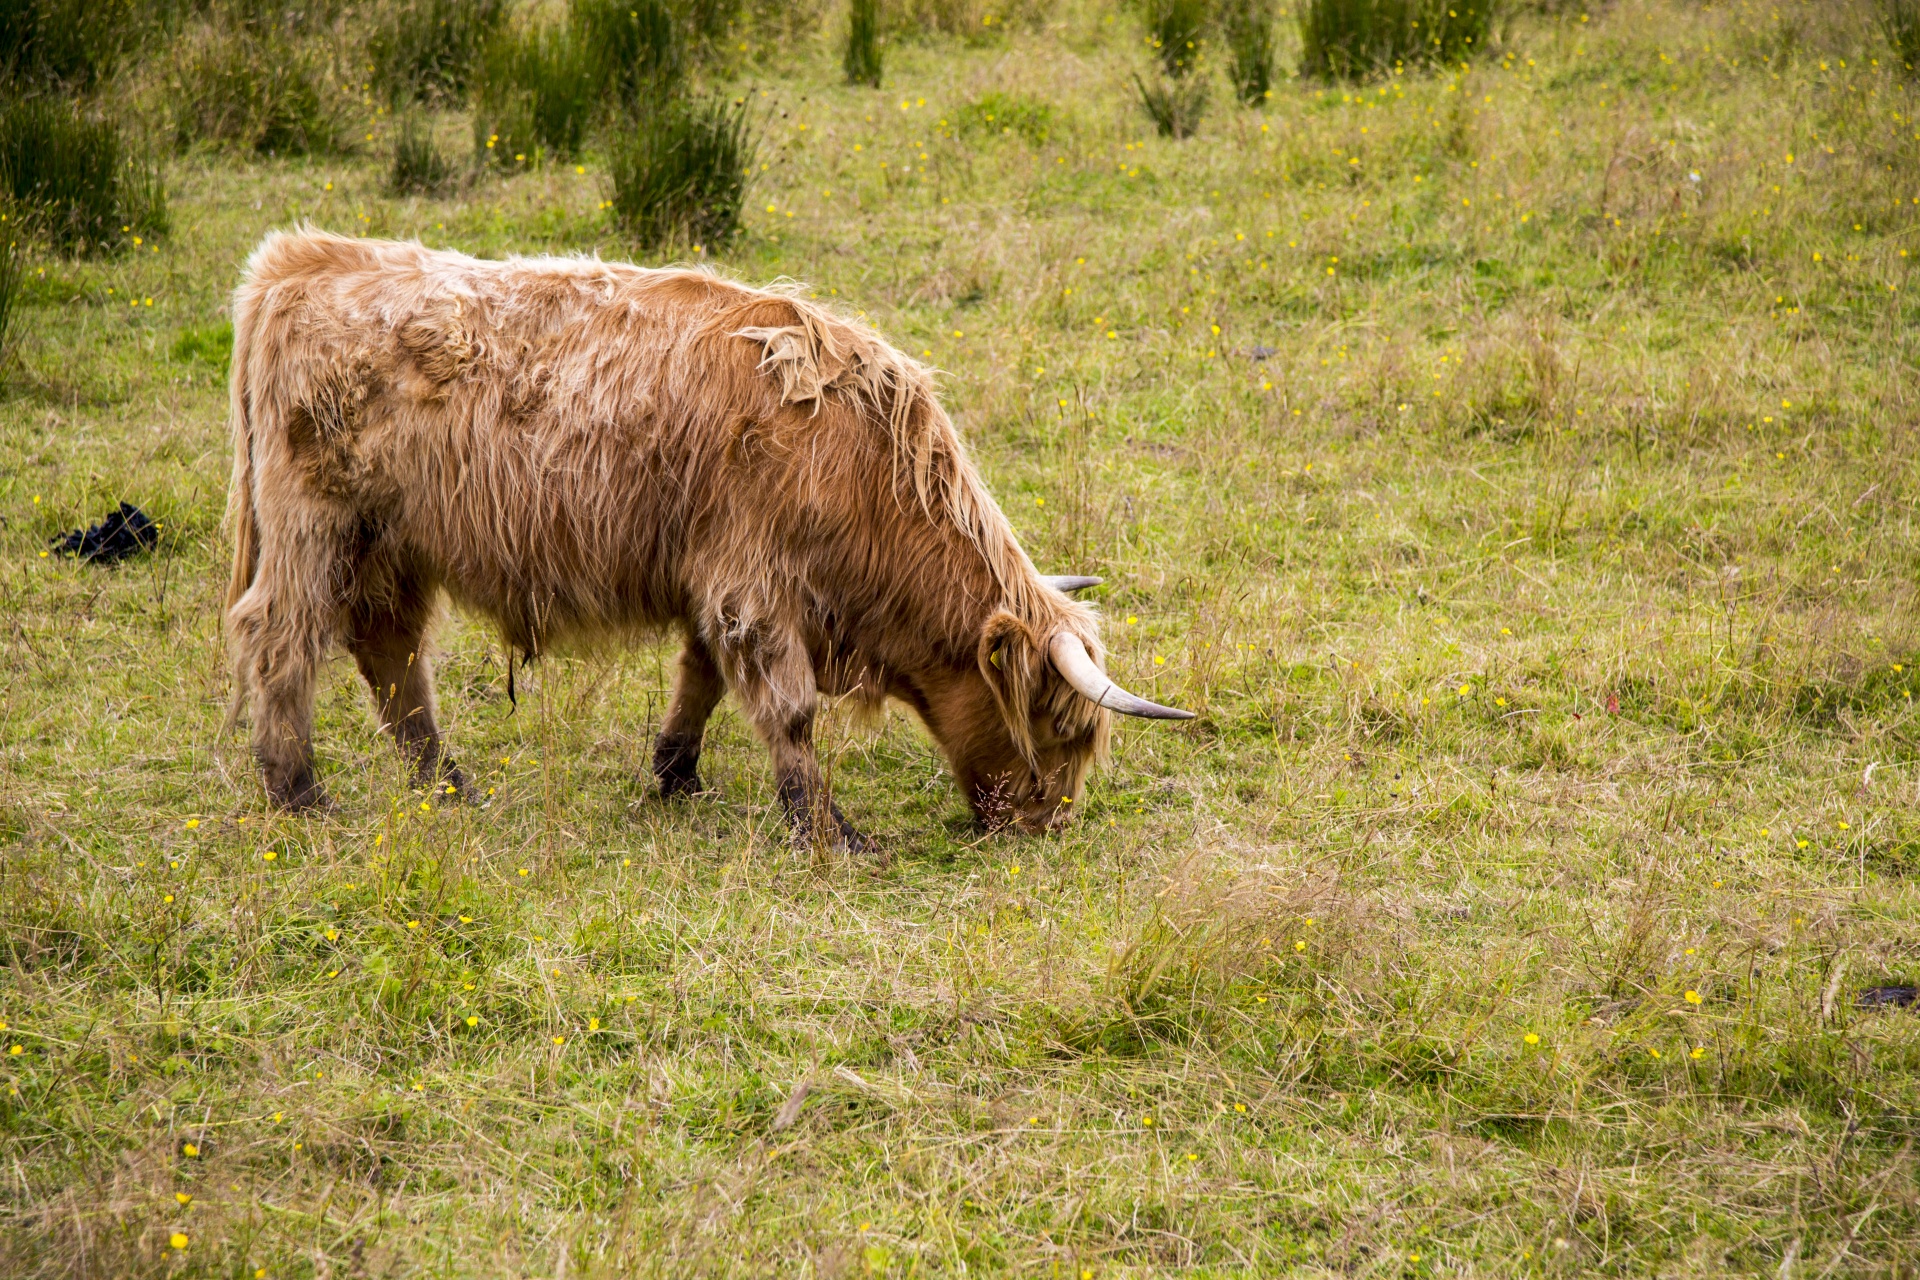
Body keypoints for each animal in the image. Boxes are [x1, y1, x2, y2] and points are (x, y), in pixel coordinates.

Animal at [220, 230, 1182, 852]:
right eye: (1058, 727)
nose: (1047, 826)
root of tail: (298, 260)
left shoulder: (713, 580)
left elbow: (702, 681)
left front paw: (674, 775)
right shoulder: (752, 585)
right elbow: (787, 710)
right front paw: (830, 832)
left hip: (393, 546)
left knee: (391, 656)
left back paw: (448, 786)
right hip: (315, 525)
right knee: (280, 639)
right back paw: (299, 794)